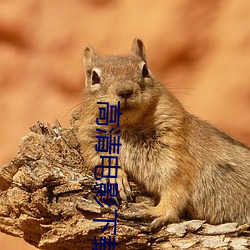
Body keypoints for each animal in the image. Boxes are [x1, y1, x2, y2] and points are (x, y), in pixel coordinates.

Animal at [77, 38, 249, 229]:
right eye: (94, 77)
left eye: (145, 70)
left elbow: (175, 189)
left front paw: (156, 211)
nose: (125, 91)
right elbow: (97, 158)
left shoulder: (175, 153)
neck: (127, 127)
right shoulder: (90, 138)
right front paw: (115, 176)